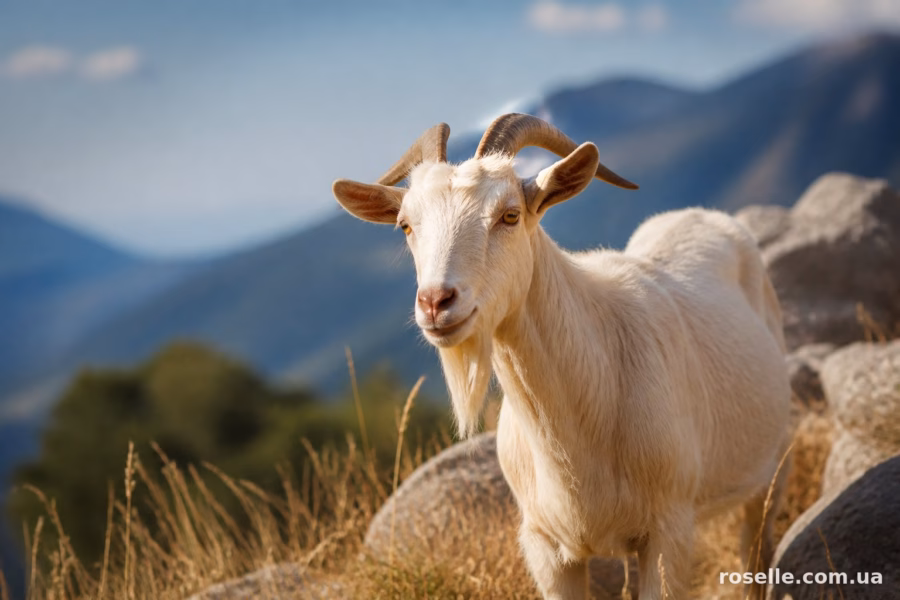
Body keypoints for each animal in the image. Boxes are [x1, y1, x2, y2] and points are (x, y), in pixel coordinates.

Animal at [332, 114, 791, 599]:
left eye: (510, 215)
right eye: (405, 225)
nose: (437, 302)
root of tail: (701, 214)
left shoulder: (669, 530)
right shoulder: (545, 545)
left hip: (773, 465)